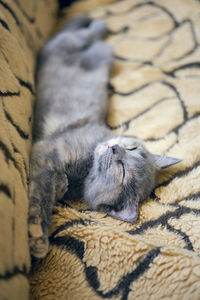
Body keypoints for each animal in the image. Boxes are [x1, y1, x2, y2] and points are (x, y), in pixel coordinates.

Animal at [28, 15, 181, 258]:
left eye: (123, 170)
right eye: (132, 149)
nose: (115, 148)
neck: (84, 170)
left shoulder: (48, 153)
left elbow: (47, 187)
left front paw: (37, 236)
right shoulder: (48, 150)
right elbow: (41, 192)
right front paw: (38, 234)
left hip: (83, 48)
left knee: (75, 36)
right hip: (87, 47)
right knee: (83, 34)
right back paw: (98, 22)